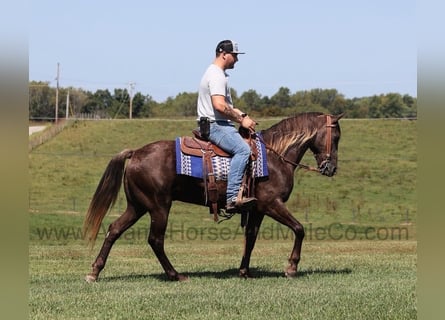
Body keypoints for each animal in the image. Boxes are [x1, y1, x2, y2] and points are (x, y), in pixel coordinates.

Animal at [83, 111, 342, 282]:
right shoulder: (272, 204)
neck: (275, 158)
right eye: (337, 137)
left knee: (114, 230)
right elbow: (299, 229)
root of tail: (136, 153)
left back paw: (94, 272)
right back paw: (175, 275)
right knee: (155, 240)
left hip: (137, 206)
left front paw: (244, 271)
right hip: (158, 207)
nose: (331, 168)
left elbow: (251, 238)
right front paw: (291, 268)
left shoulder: (257, 209)